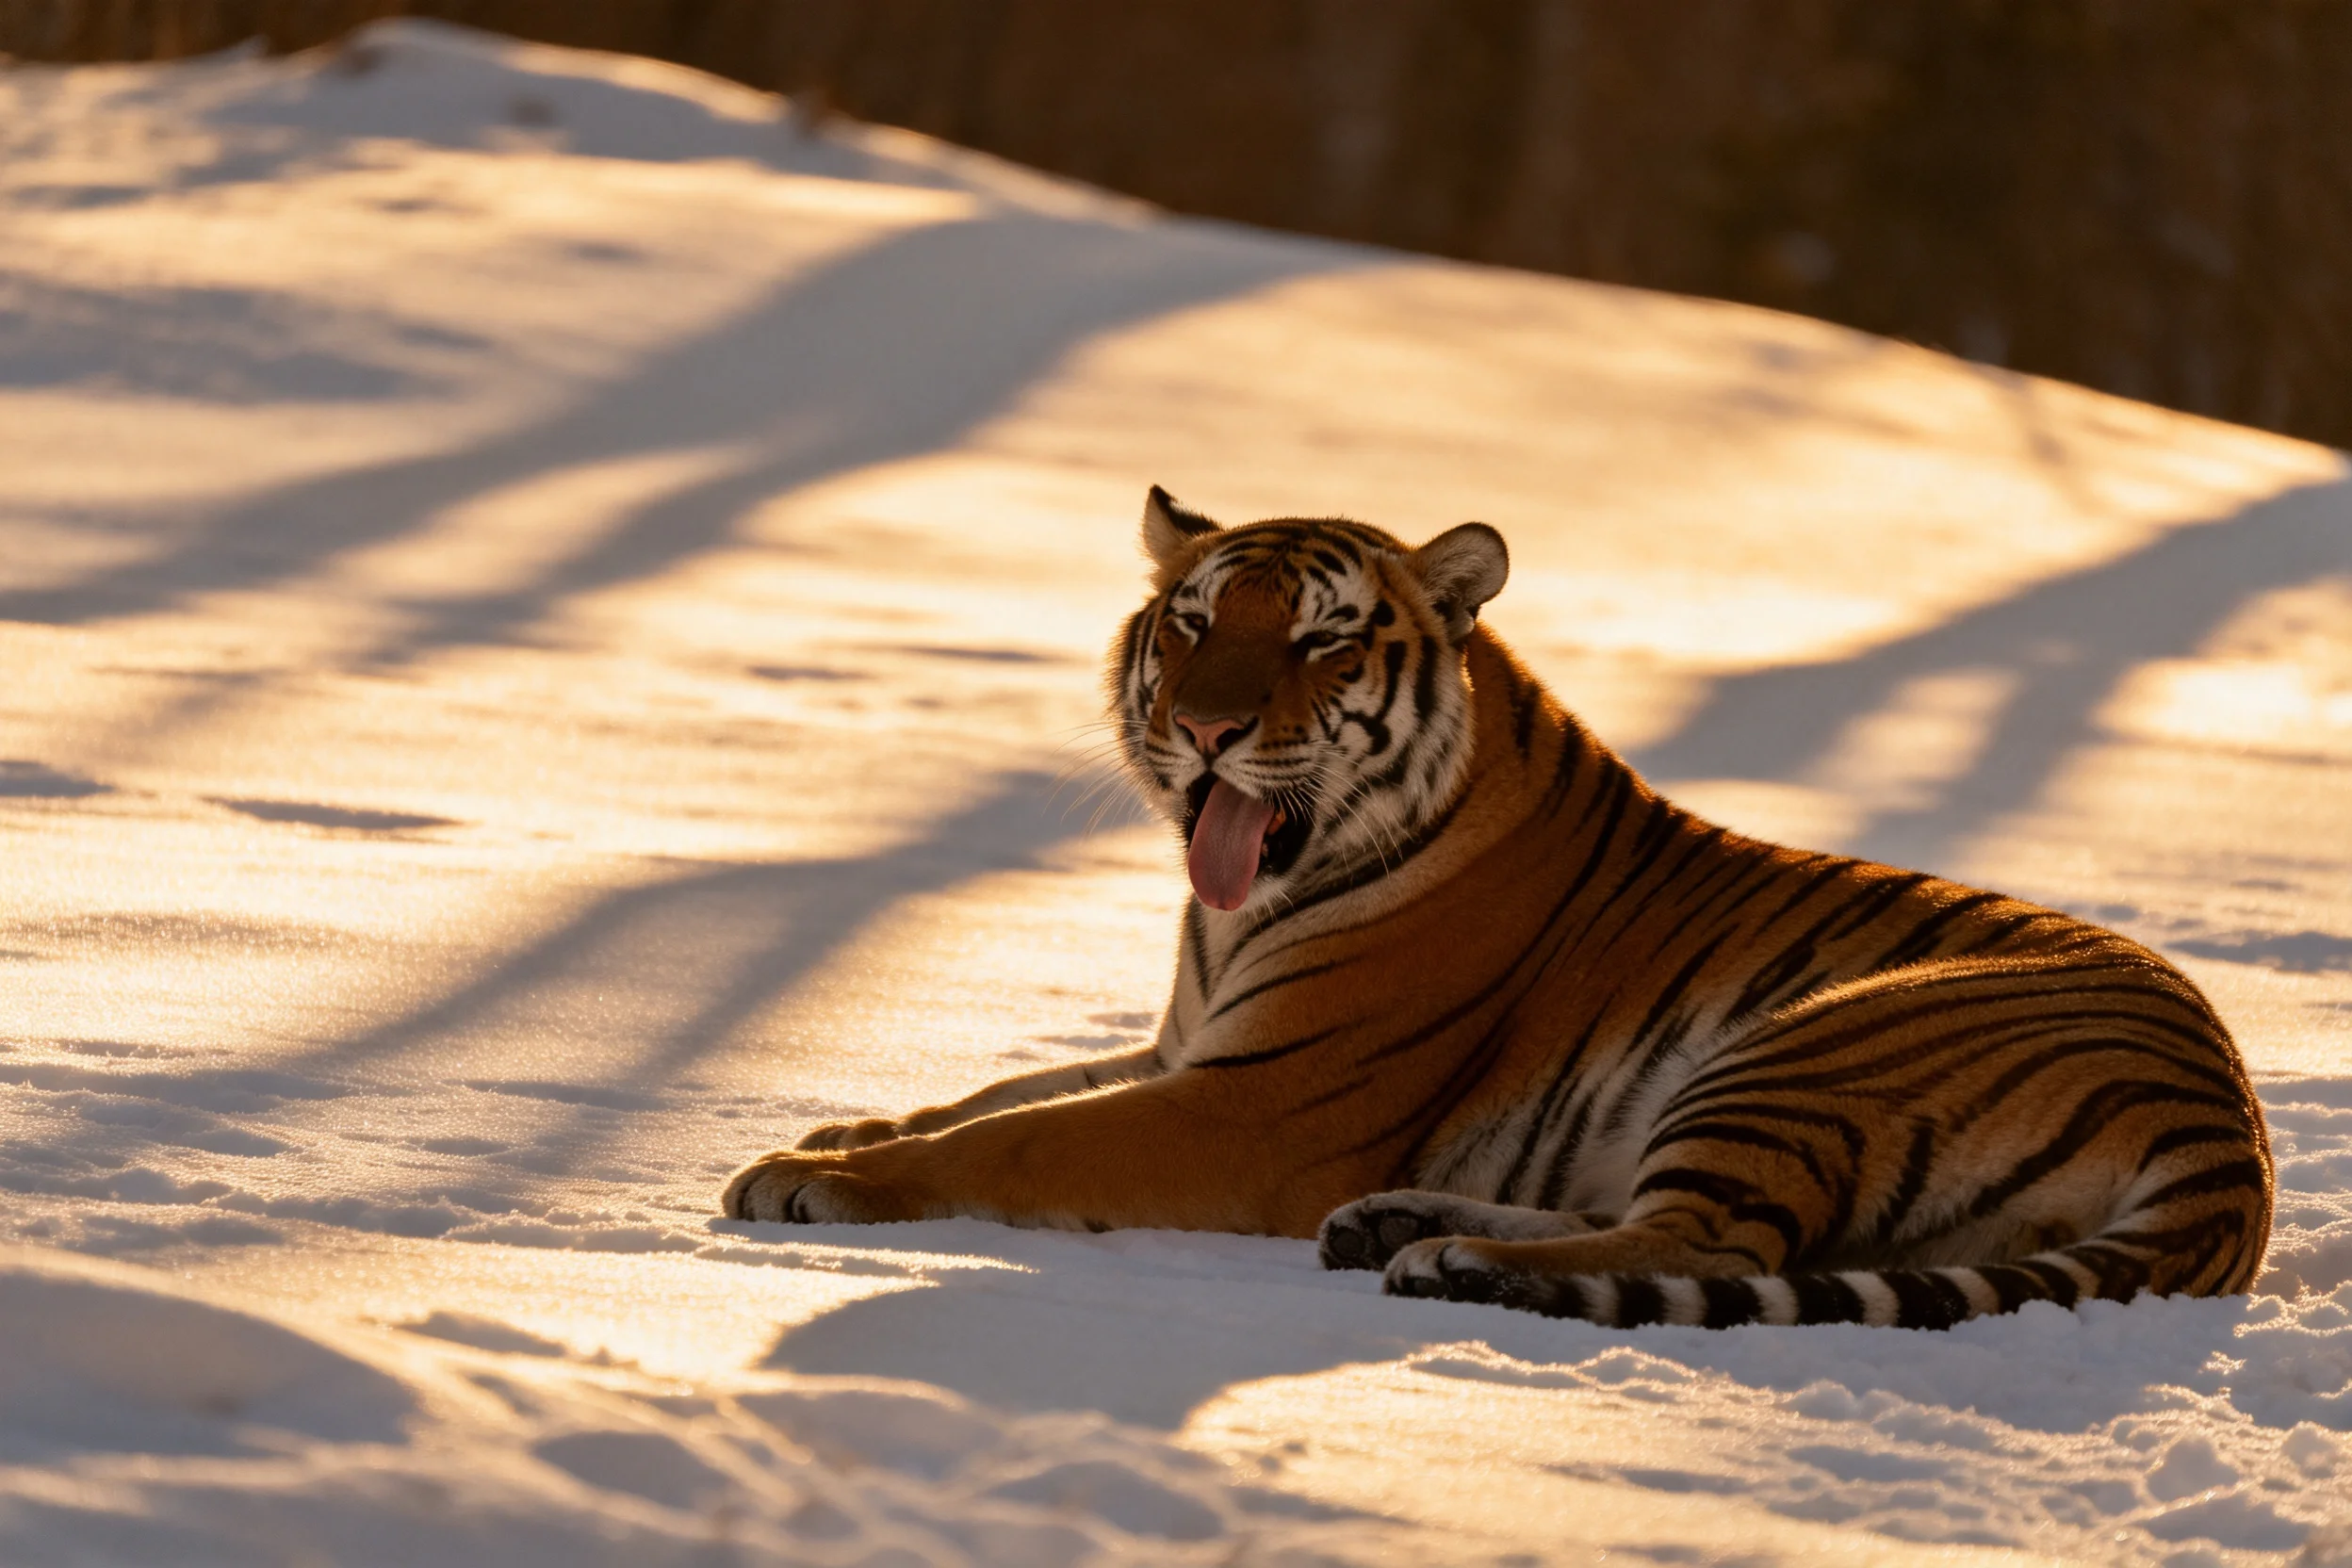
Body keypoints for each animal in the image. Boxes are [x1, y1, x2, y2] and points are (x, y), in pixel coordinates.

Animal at [722, 487, 2274, 1330]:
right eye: (1193, 622)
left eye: (1322, 639)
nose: (1208, 729)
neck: (1244, 904)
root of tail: (2236, 1136)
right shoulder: (1185, 1048)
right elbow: (990, 1093)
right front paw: (844, 1127)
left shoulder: (1253, 1103)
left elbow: (1024, 1140)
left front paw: (812, 1179)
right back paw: (1394, 1224)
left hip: (1806, 1047)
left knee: (1711, 1246)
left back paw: (1448, 1256)